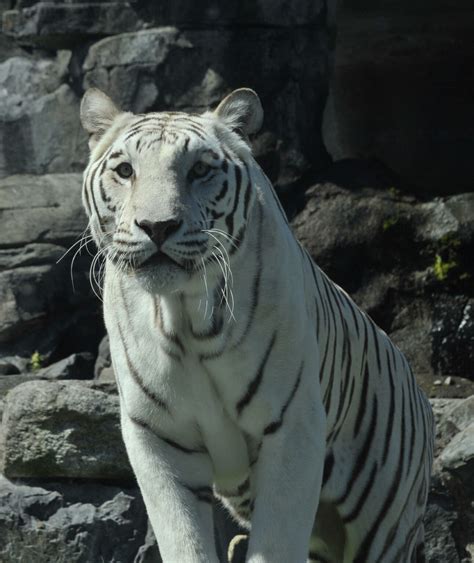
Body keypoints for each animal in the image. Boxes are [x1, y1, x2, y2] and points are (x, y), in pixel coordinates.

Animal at [80, 85, 434, 563]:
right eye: (125, 170)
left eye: (199, 169)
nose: (157, 226)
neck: (183, 315)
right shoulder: (157, 437)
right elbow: (182, 538)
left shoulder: (291, 426)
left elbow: (278, 540)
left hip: (385, 523)